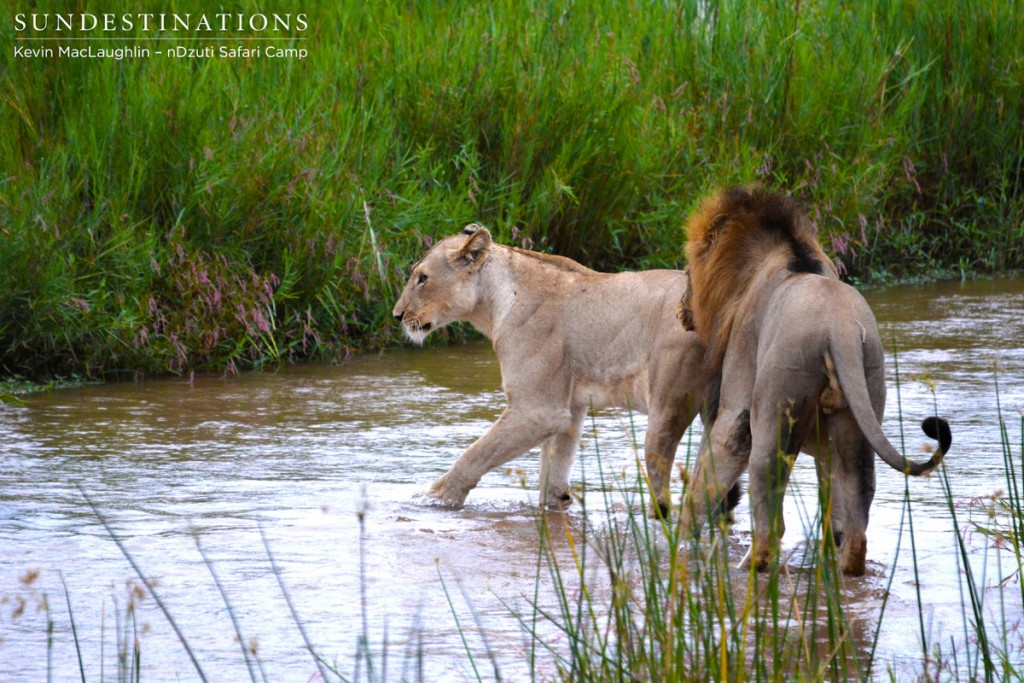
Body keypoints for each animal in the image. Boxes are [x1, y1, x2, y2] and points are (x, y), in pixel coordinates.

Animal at [387, 224, 708, 511]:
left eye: (422, 278)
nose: (397, 315)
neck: (494, 303)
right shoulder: (570, 407)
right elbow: (553, 471)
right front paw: (555, 505)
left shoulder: (538, 410)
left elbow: (474, 455)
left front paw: (435, 498)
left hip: (669, 403)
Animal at [679, 187, 950, 577]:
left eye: (687, 267)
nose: (682, 308)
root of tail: (840, 328)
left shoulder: (736, 397)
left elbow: (712, 466)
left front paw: (678, 539)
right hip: (864, 397)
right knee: (857, 504)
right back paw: (844, 567)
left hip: (778, 399)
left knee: (770, 518)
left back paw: (751, 566)